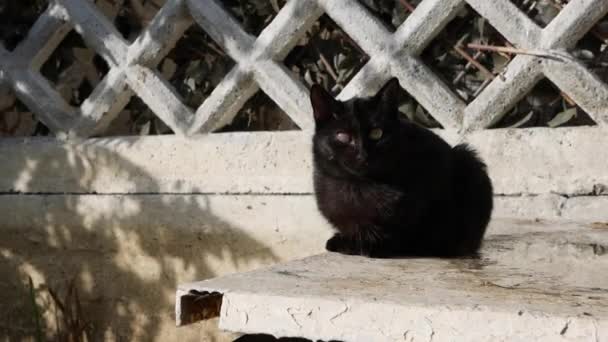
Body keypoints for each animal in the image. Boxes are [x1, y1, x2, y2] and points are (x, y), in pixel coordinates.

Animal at [312, 77, 492, 258]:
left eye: (377, 133)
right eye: (342, 136)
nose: (363, 154)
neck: (359, 187)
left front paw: (371, 246)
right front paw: (345, 240)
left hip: (468, 160)